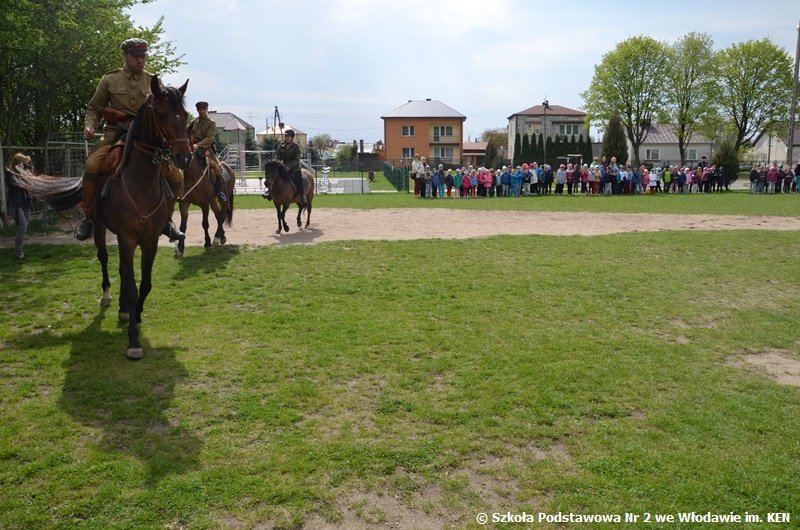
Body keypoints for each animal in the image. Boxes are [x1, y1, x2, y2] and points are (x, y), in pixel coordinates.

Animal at [94, 75, 191, 358]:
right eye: (161, 113)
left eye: (185, 115)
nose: (184, 156)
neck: (141, 183)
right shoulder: (126, 240)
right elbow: (131, 286)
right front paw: (133, 342)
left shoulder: (150, 242)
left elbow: (144, 284)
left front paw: (136, 316)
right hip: (99, 228)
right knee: (104, 259)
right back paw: (107, 296)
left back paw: (125, 311)